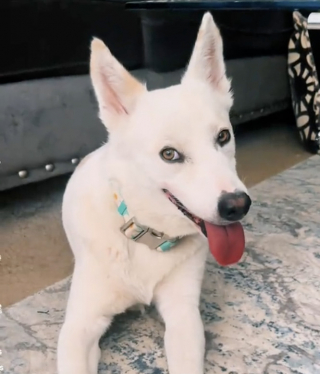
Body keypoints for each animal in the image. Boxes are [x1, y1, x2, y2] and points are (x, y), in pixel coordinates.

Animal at [57, 11, 252, 374]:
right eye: (169, 154)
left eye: (223, 136)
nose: (237, 206)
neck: (146, 237)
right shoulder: (80, 326)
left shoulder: (183, 316)